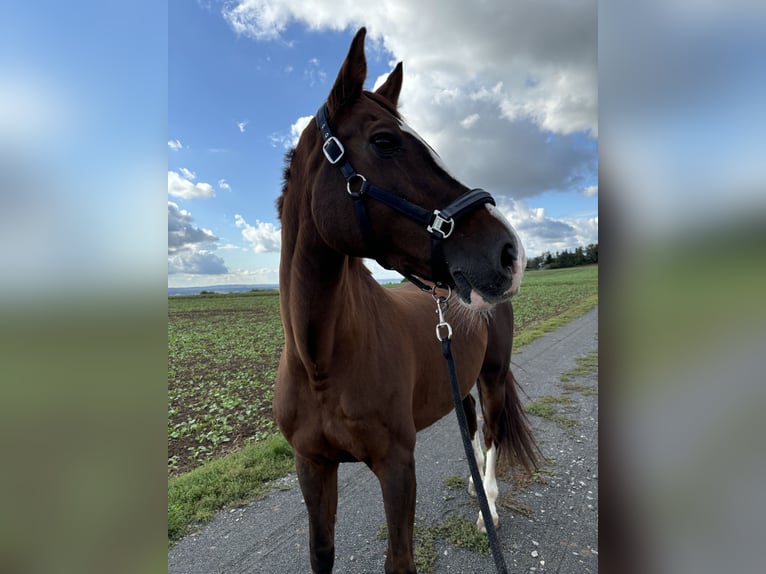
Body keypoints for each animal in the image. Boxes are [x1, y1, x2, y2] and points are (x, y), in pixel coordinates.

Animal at [276, 28, 540, 574]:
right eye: (384, 141)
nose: (512, 253)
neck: (321, 362)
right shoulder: (312, 466)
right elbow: (321, 554)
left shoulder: (397, 467)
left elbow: (400, 559)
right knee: (474, 424)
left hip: (494, 375)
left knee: (492, 433)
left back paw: (489, 506)